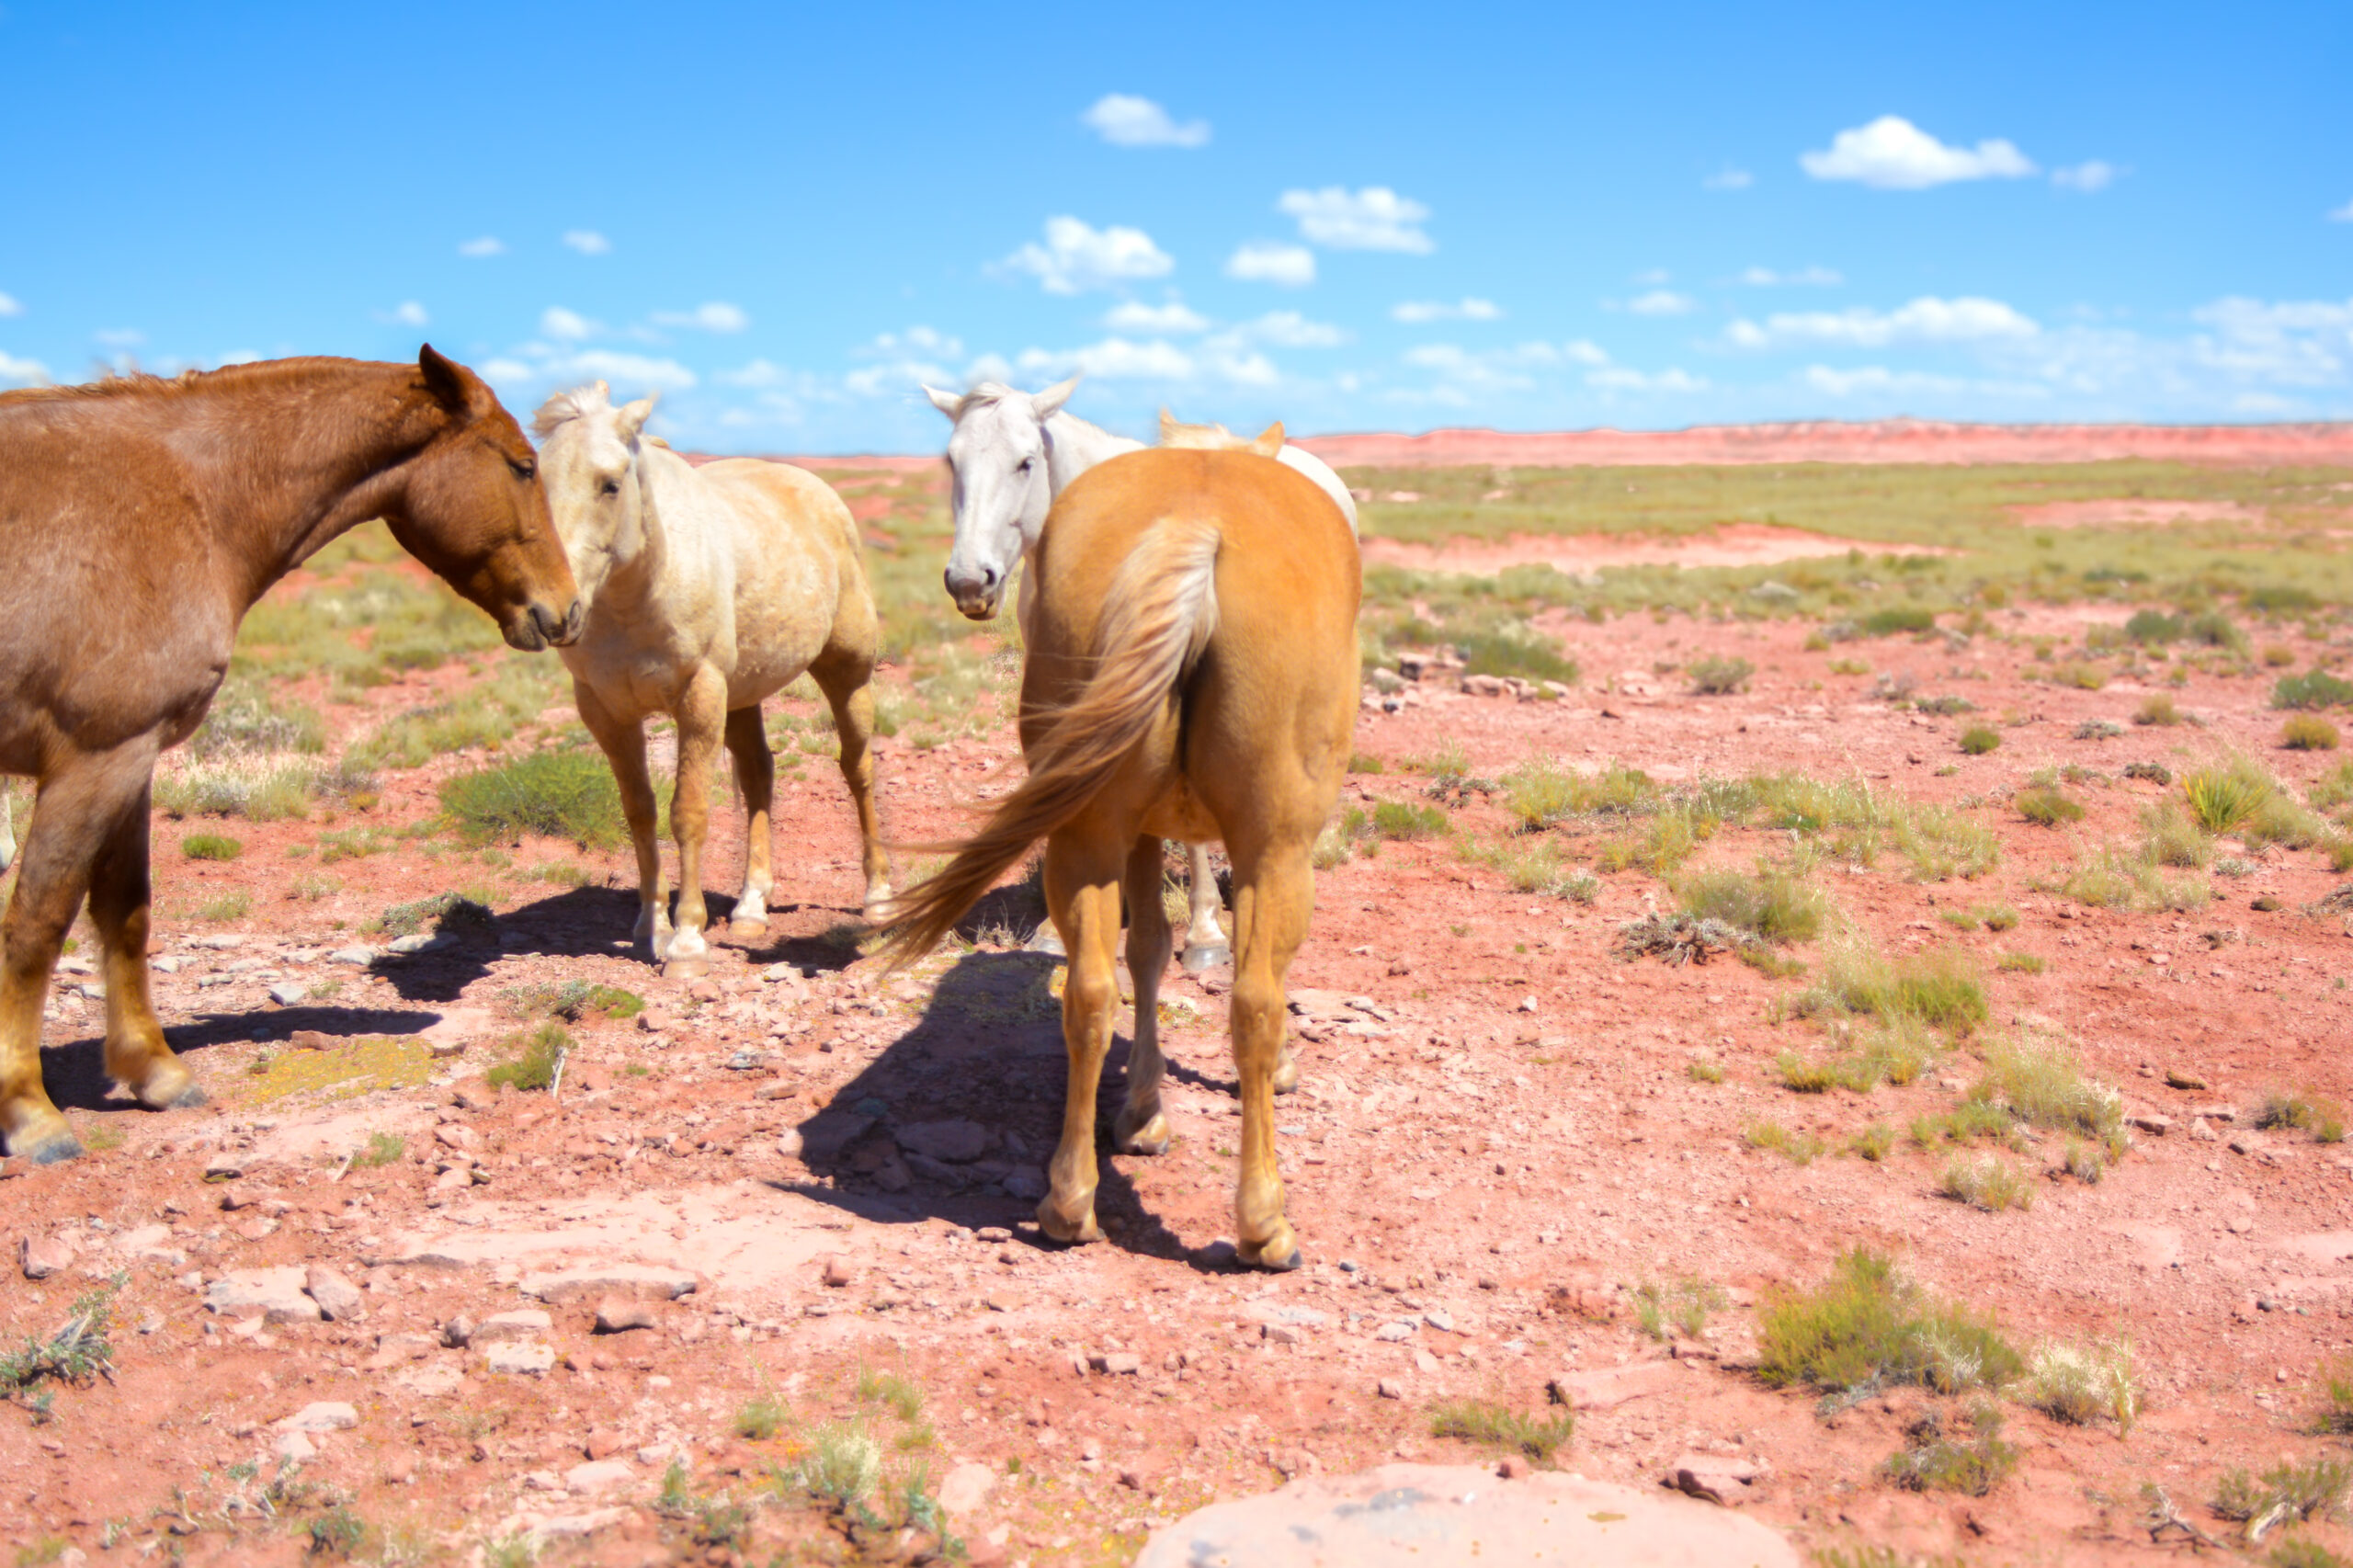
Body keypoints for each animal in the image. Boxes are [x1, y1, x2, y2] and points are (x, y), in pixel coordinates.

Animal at [0, 349, 580, 1164]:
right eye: (523, 465)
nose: (567, 610)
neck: (188, 498)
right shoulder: (93, 760)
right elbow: (36, 927)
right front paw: (28, 1111)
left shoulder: (130, 762)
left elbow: (125, 913)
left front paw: (153, 1070)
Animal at [533, 383, 890, 978]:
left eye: (610, 484)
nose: (552, 612)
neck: (644, 586)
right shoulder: (607, 713)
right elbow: (640, 812)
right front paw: (650, 927)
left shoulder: (699, 697)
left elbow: (688, 813)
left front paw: (686, 941)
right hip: (744, 694)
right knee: (760, 774)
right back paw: (751, 907)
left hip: (848, 674)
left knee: (857, 768)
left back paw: (879, 895)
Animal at [883, 444, 1360, 1270]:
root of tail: (1194, 528)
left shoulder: (1138, 832)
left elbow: (1147, 954)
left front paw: (1140, 1113)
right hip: (1274, 849)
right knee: (1255, 1004)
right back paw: (1264, 1225)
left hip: (1089, 835)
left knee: (1090, 995)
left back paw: (1069, 1202)